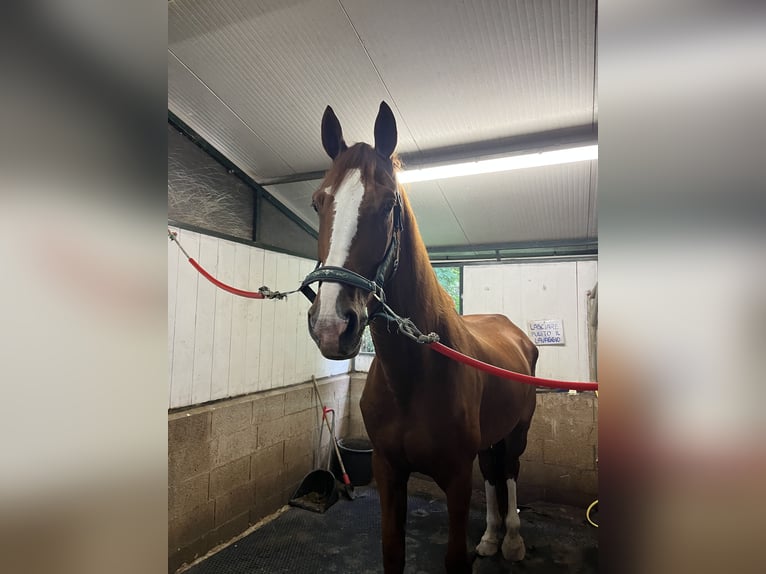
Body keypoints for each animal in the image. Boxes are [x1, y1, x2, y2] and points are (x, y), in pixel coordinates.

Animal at [305, 102, 538, 574]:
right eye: (319, 201)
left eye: (387, 205)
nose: (332, 326)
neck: (413, 375)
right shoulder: (389, 471)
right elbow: (392, 552)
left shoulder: (456, 478)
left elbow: (454, 558)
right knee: (493, 472)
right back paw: (491, 537)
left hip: (518, 431)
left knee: (508, 472)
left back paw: (512, 541)